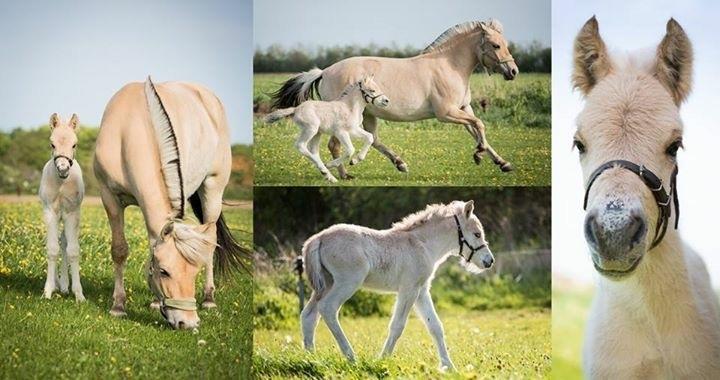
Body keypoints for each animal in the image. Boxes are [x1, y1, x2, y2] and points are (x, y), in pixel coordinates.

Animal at [94, 77, 249, 330]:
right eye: (164, 271)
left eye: (193, 272)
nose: (188, 323)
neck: (130, 130)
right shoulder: (110, 198)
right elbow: (120, 250)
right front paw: (118, 306)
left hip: (213, 189)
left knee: (211, 240)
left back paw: (209, 299)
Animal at [272, 19, 516, 181]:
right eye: (496, 45)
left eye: (505, 44)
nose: (513, 71)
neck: (449, 66)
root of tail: (325, 71)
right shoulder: (447, 113)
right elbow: (479, 126)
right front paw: (478, 154)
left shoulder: (463, 108)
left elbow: (478, 129)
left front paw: (501, 162)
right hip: (341, 117)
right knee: (337, 144)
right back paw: (344, 174)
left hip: (367, 114)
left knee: (373, 139)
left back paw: (399, 164)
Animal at [300, 202, 496, 372]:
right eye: (477, 234)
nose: (489, 261)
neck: (422, 244)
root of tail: (319, 237)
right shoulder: (409, 290)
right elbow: (397, 326)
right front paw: (382, 360)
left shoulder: (421, 291)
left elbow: (435, 326)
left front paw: (449, 367)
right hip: (346, 283)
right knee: (328, 308)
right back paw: (351, 358)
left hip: (325, 285)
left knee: (309, 315)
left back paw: (311, 359)